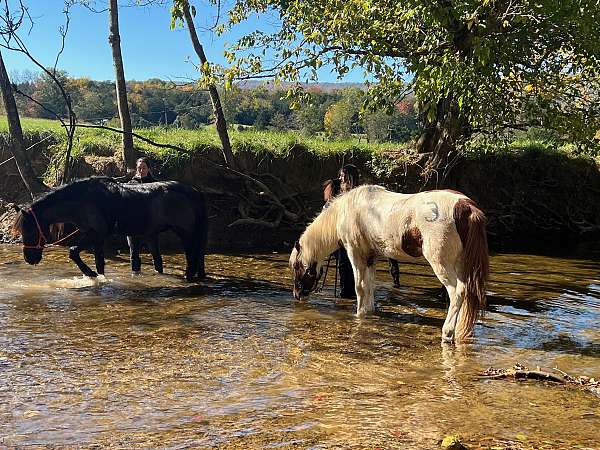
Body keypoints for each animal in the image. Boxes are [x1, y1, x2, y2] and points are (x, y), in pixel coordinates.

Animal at [12, 177, 209, 280]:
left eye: (31, 230)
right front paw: (98, 277)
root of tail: (194, 191)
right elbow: (99, 262)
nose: (29, 258)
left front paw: (90, 273)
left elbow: (73, 251)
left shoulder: (95, 234)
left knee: (191, 256)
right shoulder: (96, 238)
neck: (84, 201)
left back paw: (188, 277)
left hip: (185, 232)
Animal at [288, 185, 490, 342]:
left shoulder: (355, 253)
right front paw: (368, 311)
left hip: (442, 265)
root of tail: (465, 206)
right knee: (466, 294)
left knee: (457, 293)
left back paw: (447, 332)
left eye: (297, 267)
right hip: (461, 265)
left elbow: (359, 286)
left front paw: (359, 314)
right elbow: (369, 285)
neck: (348, 210)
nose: (297, 295)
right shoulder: (371, 257)